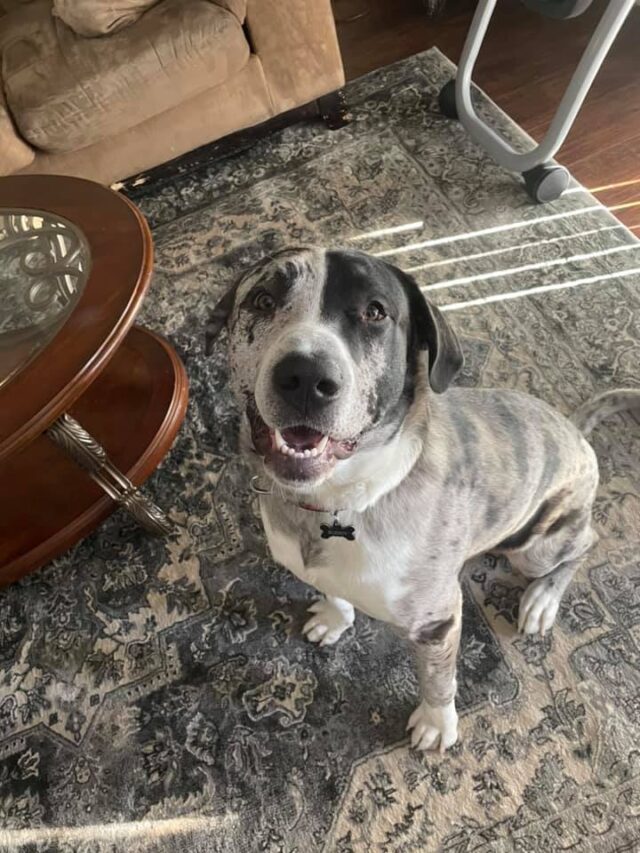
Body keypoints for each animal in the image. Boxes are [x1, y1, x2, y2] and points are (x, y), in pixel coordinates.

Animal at [208, 245, 636, 752]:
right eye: (263, 299)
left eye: (375, 312)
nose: (306, 377)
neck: (344, 499)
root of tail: (576, 431)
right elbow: (333, 589)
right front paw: (334, 616)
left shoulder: (437, 624)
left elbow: (438, 679)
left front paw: (436, 724)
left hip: (534, 545)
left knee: (585, 542)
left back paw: (541, 601)